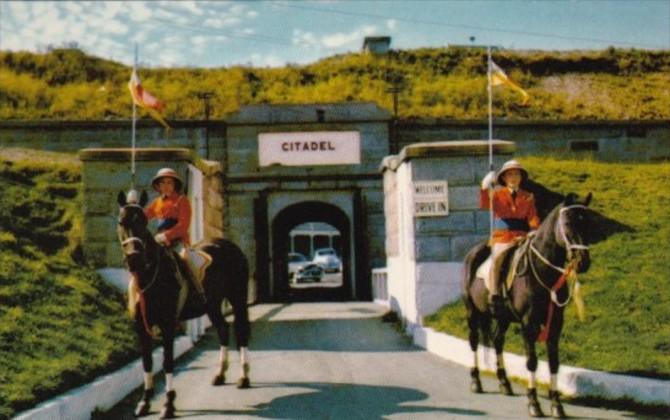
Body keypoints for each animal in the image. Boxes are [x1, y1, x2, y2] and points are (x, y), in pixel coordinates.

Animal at [115, 189, 252, 416]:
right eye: (121, 222)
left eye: (143, 222)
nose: (134, 258)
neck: (151, 277)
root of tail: (230, 245)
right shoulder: (141, 327)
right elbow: (147, 362)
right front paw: (145, 401)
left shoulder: (168, 324)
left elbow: (167, 361)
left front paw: (169, 403)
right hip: (213, 305)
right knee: (223, 330)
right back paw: (220, 374)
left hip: (238, 298)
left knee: (241, 332)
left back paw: (244, 377)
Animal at [468, 192, 592, 418]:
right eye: (568, 222)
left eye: (588, 222)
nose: (582, 262)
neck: (544, 270)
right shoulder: (528, 324)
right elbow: (532, 361)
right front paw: (533, 402)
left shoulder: (555, 322)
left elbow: (554, 362)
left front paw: (556, 404)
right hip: (471, 311)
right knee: (473, 341)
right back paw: (476, 381)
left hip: (503, 317)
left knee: (497, 341)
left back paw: (504, 382)